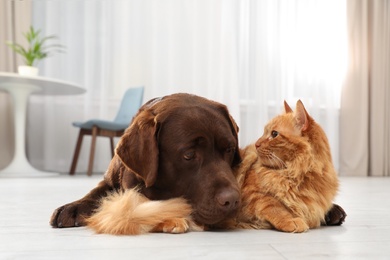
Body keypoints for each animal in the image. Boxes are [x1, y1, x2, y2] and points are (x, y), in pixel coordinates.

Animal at [232, 100, 342, 233]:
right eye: (264, 132)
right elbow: (273, 204)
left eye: (274, 134)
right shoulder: (250, 195)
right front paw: (291, 220)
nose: (256, 144)